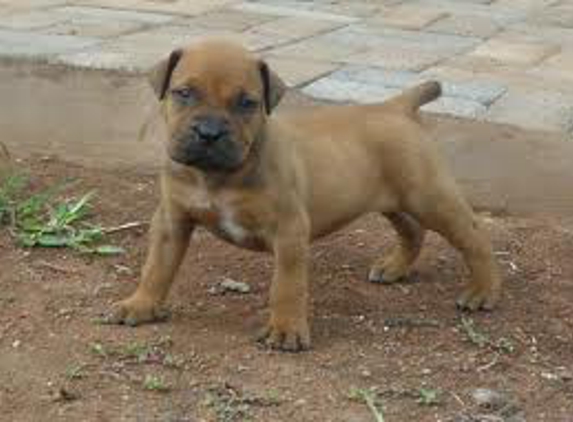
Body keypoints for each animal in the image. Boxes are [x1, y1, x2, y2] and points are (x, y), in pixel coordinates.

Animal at [110, 39, 500, 352]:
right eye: (184, 93)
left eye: (246, 103)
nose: (209, 132)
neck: (216, 176)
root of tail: (396, 106)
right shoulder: (172, 221)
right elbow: (156, 267)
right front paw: (141, 304)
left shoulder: (289, 232)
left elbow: (287, 286)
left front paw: (285, 330)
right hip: (390, 199)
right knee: (412, 230)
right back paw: (394, 268)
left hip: (429, 197)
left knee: (474, 236)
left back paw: (483, 292)